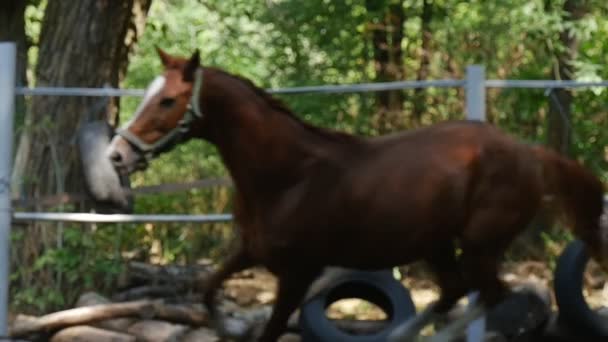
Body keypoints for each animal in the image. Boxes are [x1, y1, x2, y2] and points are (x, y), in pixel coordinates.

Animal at [107, 48, 604, 342]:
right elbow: (209, 289)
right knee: (455, 292)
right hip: (438, 244)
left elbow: (270, 328)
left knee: (490, 294)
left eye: (167, 101)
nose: (116, 155)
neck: (287, 175)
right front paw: (228, 325)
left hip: (480, 244)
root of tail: (531, 153)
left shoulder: (298, 273)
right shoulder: (251, 250)